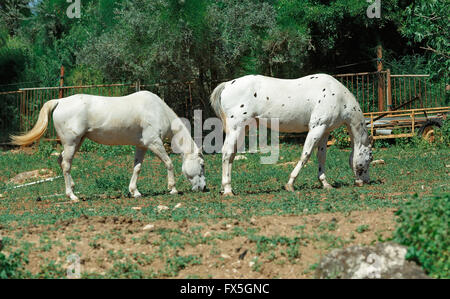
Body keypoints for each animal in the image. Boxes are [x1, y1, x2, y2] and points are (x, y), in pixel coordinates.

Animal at [11, 89, 207, 202]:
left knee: (62, 161)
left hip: (77, 142)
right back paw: (72, 196)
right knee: (66, 164)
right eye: (202, 165)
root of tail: (60, 101)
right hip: (72, 142)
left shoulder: (142, 146)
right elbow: (169, 163)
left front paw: (135, 192)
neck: (157, 110)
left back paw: (73, 189)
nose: (204, 188)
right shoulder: (154, 143)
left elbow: (137, 168)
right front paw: (172, 188)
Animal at [211, 74, 372, 197]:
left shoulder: (325, 131)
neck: (338, 96)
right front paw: (290, 184)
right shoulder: (316, 128)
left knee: (231, 155)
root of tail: (227, 85)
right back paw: (228, 189)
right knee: (227, 153)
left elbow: (321, 157)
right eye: (370, 158)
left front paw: (325, 183)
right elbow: (305, 155)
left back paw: (225, 188)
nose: (365, 181)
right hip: (236, 127)